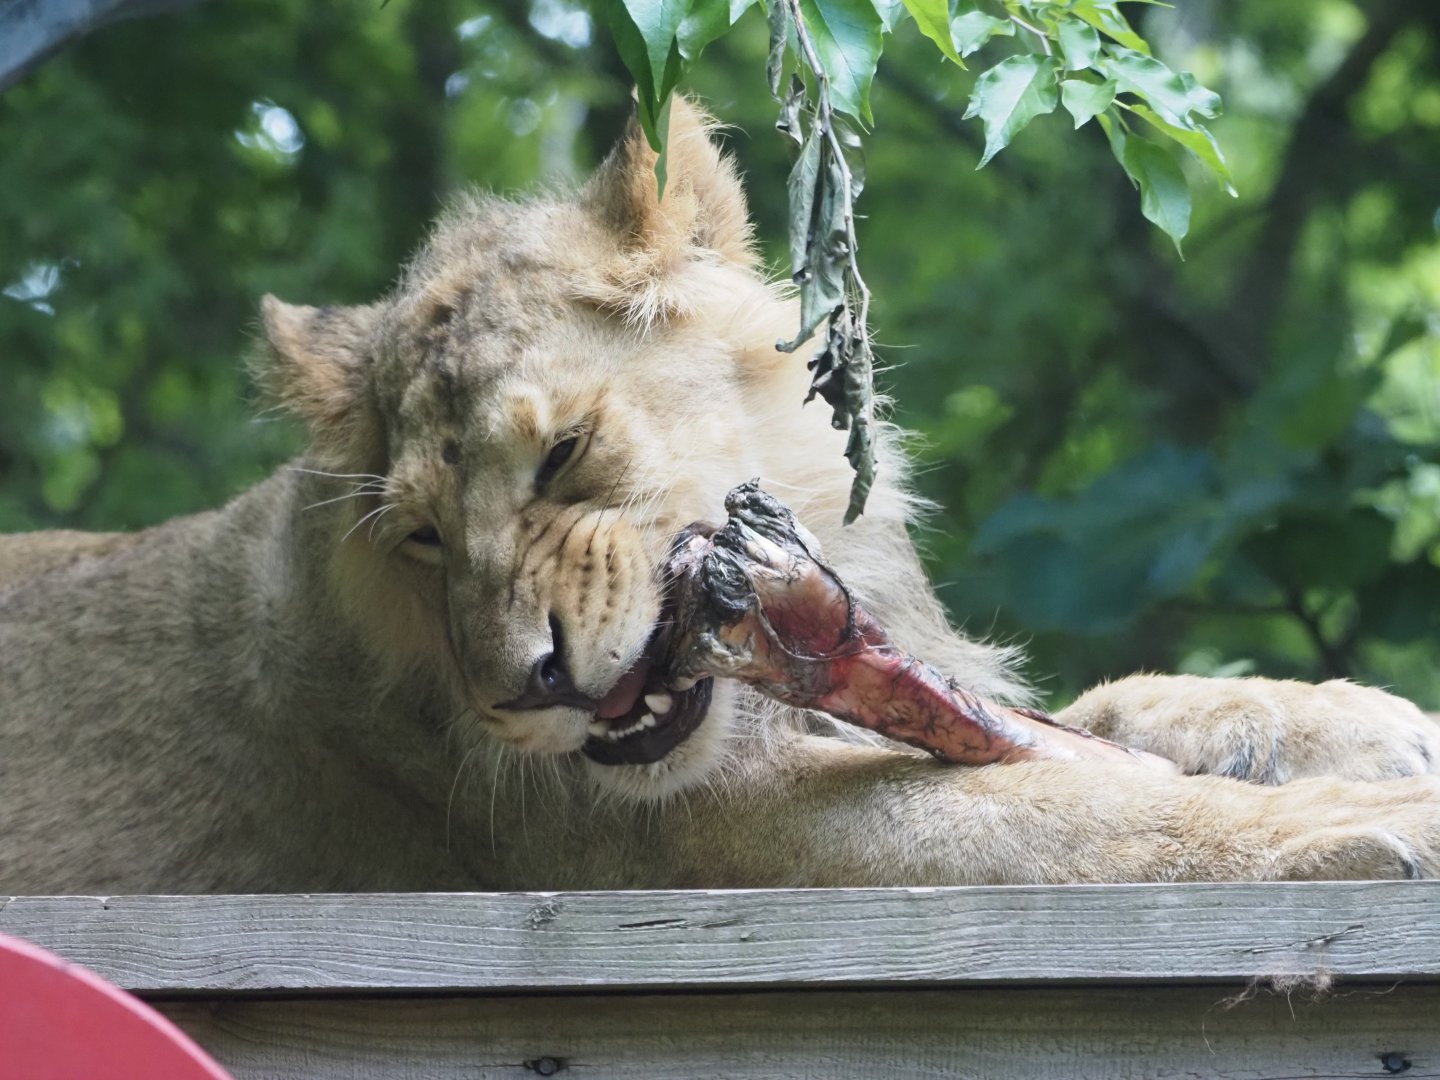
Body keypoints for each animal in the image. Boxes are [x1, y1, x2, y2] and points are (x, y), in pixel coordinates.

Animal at [3, 99, 1440, 894]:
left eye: (564, 454)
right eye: (419, 537)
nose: (524, 687)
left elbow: (1090, 723)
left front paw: (1351, 725)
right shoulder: (699, 831)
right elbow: (1065, 810)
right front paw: (1367, 821)